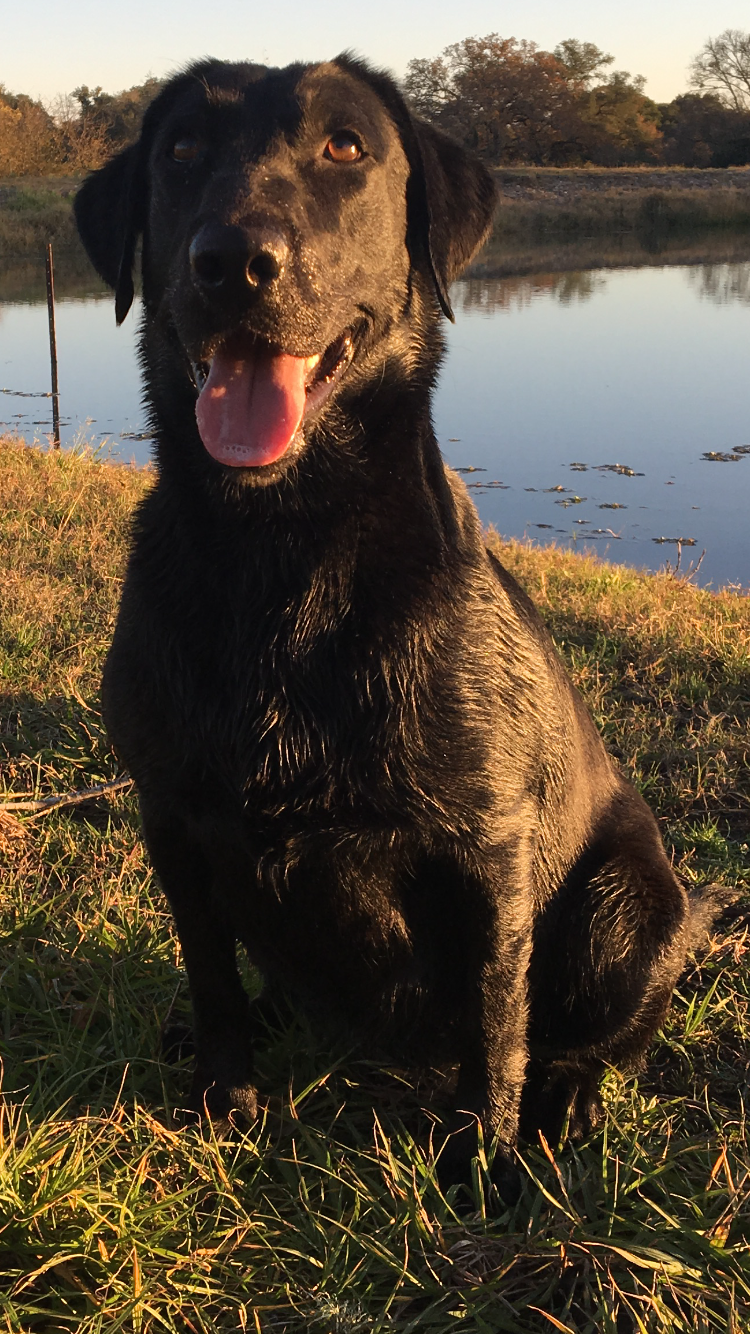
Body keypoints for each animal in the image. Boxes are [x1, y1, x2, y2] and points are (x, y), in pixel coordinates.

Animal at [76, 57, 709, 1195]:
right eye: (181, 150)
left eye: (346, 147)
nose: (233, 261)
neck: (281, 557)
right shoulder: (172, 816)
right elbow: (211, 976)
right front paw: (223, 1098)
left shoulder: (486, 845)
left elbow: (498, 1020)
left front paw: (479, 1158)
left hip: (627, 904)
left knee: (585, 1037)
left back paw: (564, 1100)